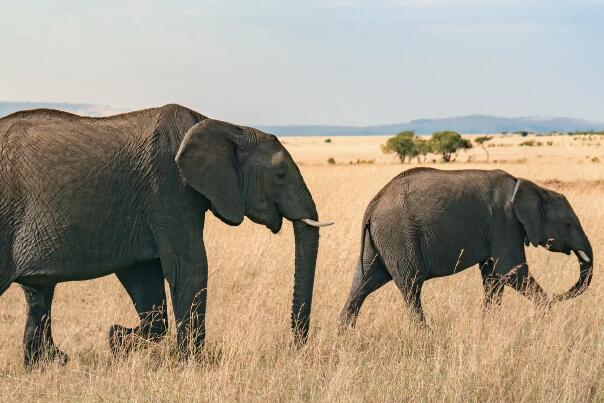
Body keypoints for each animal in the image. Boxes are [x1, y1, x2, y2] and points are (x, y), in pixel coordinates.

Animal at [0, 104, 330, 370]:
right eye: (280, 176)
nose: (296, 348)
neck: (225, 126)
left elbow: (145, 280)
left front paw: (117, 340)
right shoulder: (169, 187)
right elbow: (189, 268)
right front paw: (193, 366)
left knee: (39, 294)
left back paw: (48, 365)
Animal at [340, 167, 596, 328]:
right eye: (568, 223)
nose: (559, 296)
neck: (532, 187)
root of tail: (373, 205)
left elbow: (493, 278)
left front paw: (488, 326)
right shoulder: (504, 223)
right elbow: (510, 270)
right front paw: (547, 314)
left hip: (381, 240)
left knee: (363, 283)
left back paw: (345, 335)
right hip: (398, 235)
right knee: (411, 286)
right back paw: (425, 335)